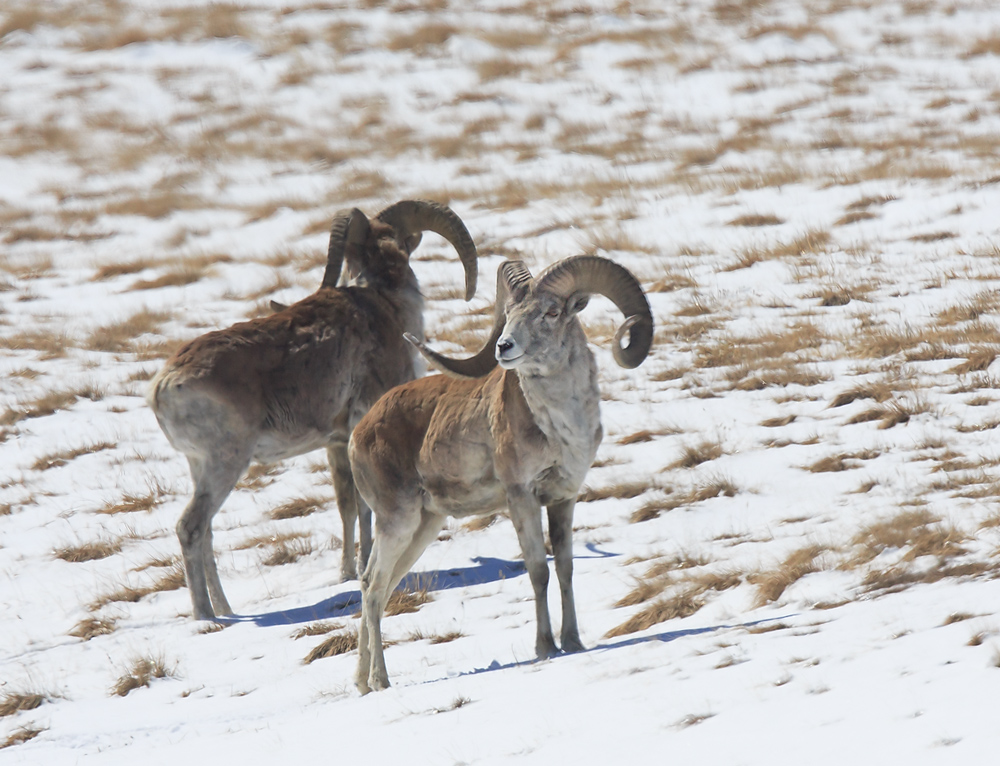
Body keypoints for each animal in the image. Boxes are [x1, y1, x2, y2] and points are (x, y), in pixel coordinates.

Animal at [145, 201, 480, 620]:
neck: (384, 304)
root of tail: (163, 386)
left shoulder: (336, 443)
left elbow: (346, 505)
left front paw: (346, 573)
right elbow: (364, 508)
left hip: (201, 468)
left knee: (206, 532)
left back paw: (227, 611)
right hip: (226, 463)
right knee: (190, 528)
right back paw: (208, 618)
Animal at [348, 255, 652, 692]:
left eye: (552, 312)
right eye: (509, 314)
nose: (504, 347)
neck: (560, 426)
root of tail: (358, 434)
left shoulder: (563, 500)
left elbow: (564, 568)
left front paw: (573, 643)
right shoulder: (521, 497)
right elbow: (539, 571)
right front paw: (546, 648)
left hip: (423, 527)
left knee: (377, 585)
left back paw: (361, 682)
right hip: (397, 523)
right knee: (374, 590)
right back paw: (380, 682)